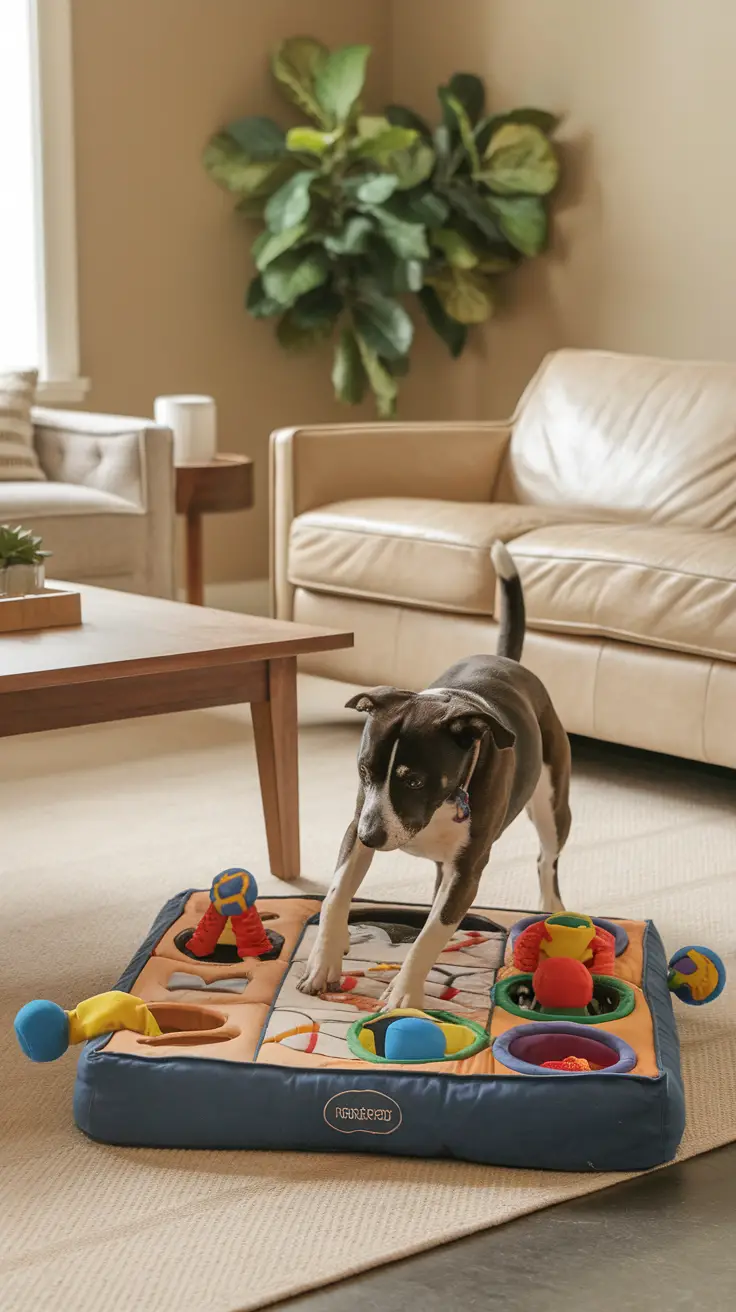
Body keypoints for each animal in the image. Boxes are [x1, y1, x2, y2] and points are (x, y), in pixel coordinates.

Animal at [295, 537, 572, 1007]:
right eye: (364, 770)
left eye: (414, 780)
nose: (373, 837)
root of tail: (507, 660)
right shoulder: (357, 823)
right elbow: (335, 895)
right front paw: (323, 962)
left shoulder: (468, 867)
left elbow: (431, 933)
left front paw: (404, 995)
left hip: (553, 806)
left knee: (546, 860)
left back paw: (551, 908)